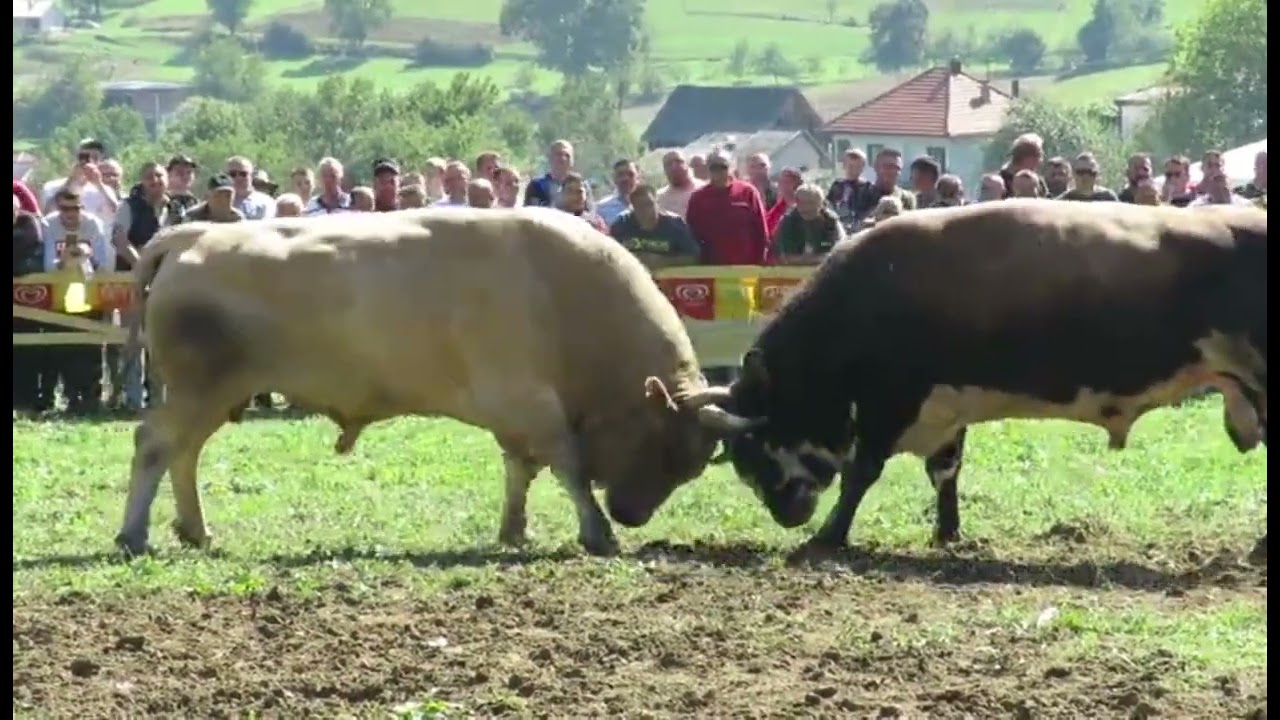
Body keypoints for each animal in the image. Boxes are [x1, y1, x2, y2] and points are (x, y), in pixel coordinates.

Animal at [115, 207, 733, 558]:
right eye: (670, 447)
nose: (632, 514)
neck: (566, 295)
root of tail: (194, 235)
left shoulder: (519, 414)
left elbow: (521, 470)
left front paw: (515, 531)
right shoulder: (531, 404)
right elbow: (569, 468)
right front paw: (598, 532)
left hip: (213, 395)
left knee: (184, 454)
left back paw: (195, 531)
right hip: (198, 390)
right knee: (156, 445)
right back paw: (133, 535)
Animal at [690, 200, 1268, 560]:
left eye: (759, 442)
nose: (785, 511)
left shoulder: (890, 401)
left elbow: (862, 473)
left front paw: (829, 536)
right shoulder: (947, 407)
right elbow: (945, 471)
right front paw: (948, 533)